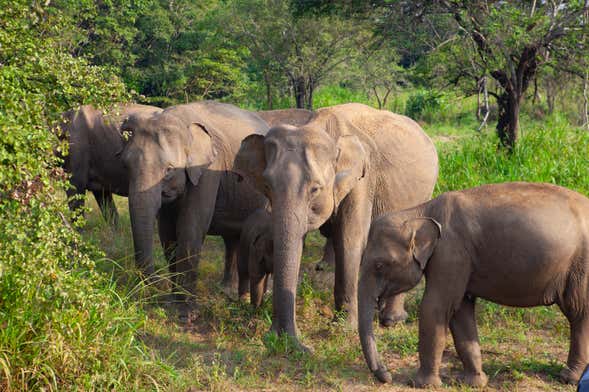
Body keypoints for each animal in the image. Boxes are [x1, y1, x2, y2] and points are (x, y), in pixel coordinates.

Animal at [120, 101, 268, 300]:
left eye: (169, 170)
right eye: (125, 166)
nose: (157, 284)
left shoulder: (209, 169)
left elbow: (190, 228)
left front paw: (183, 298)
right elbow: (167, 234)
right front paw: (173, 295)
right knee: (232, 239)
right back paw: (226, 290)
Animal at [233, 102, 436, 346]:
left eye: (315, 189)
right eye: (267, 185)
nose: (281, 336)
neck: (322, 126)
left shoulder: (362, 179)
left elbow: (349, 239)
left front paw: (344, 327)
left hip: (422, 196)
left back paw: (391, 321)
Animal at [356, 182, 588, 388]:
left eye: (379, 265)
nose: (387, 376)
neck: (421, 211)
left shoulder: (451, 253)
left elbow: (435, 308)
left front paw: (421, 384)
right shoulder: (458, 261)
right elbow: (460, 311)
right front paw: (474, 382)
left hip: (581, 267)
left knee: (579, 313)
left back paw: (569, 378)